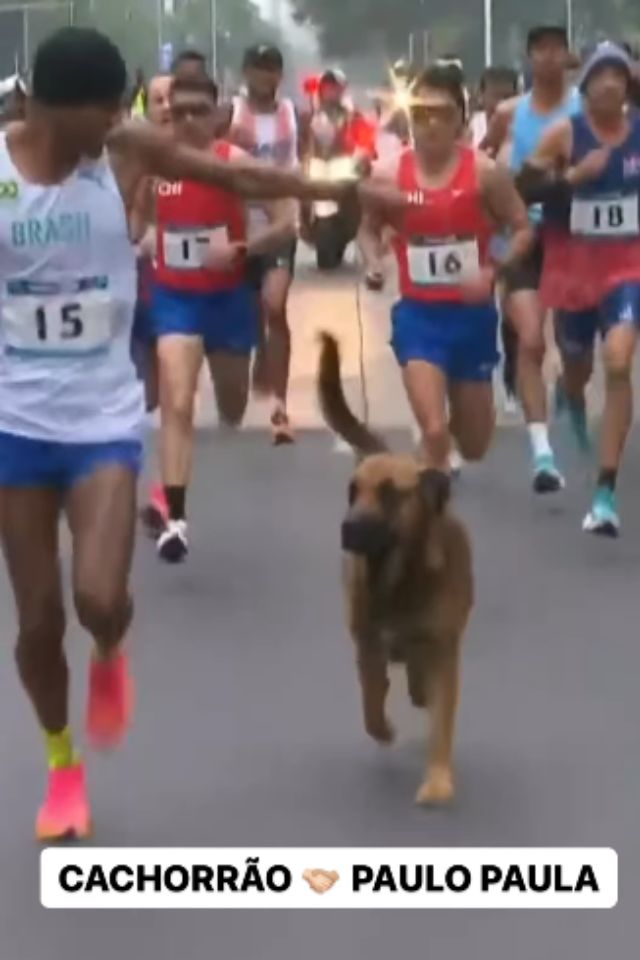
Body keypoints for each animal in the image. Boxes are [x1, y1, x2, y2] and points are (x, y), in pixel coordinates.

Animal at [316, 334, 472, 808]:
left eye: (389, 494)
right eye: (353, 492)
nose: (348, 529)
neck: (400, 576)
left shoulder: (443, 650)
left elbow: (441, 722)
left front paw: (437, 781)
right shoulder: (368, 643)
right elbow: (371, 702)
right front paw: (383, 728)